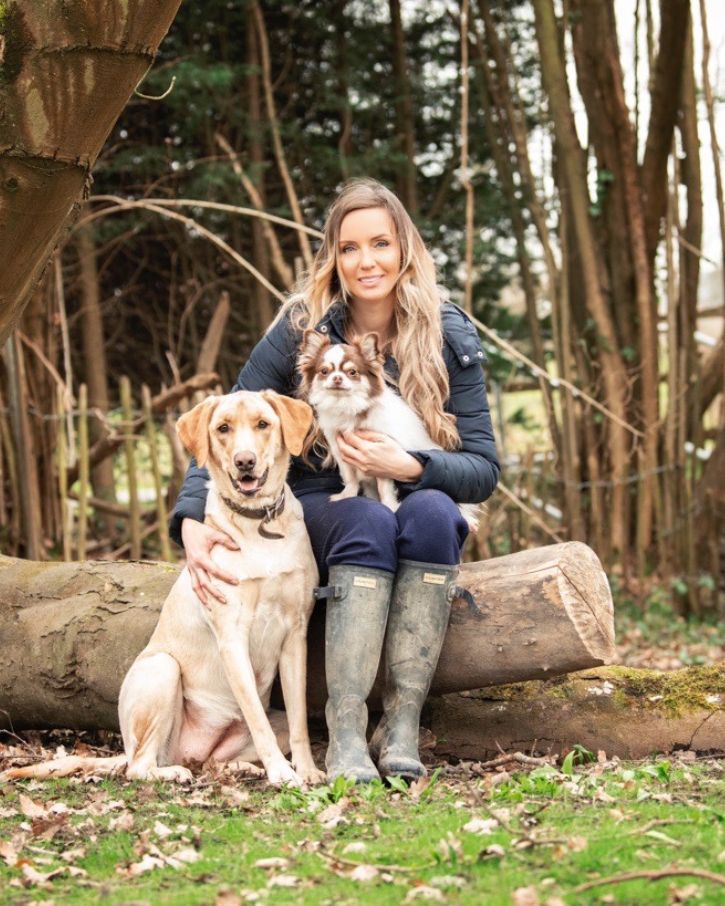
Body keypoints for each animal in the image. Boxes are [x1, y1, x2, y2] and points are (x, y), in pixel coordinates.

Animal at [4, 392, 324, 788]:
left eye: (263, 424)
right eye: (223, 428)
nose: (244, 462)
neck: (258, 522)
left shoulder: (295, 634)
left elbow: (298, 721)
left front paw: (306, 770)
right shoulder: (232, 637)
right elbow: (257, 718)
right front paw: (282, 772)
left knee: (216, 760)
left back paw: (240, 767)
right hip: (162, 670)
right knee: (139, 766)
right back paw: (174, 771)